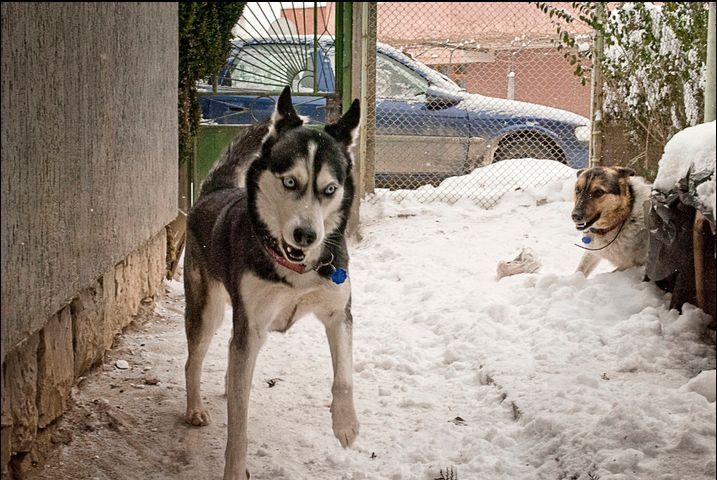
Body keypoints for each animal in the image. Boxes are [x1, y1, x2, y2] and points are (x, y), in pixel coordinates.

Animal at [183, 87, 360, 480]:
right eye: (290, 182)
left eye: (330, 189)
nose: (306, 235)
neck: (297, 270)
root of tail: (213, 190)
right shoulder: (250, 327)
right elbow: (239, 422)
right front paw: (235, 469)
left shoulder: (338, 313)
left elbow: (344, 376)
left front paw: (345, 423)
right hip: (209, 312)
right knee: (193, 362)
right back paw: (195, 408)